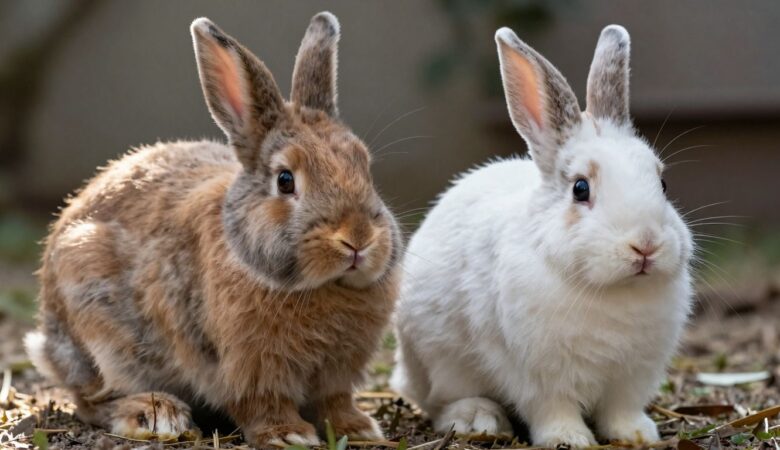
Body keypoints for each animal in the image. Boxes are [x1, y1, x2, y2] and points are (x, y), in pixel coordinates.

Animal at [24, 12, 402, 447]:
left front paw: (357, 428)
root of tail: (47, 344)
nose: (357, 238)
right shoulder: (246, 366)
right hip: (94, 320)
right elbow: (262, 402)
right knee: (92, 400)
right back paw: (155, 415)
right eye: (285, 180)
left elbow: (334, 400)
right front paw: (288, 434)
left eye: (365, 167)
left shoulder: (337, 372)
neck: (319, 288)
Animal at [391, 24, 693, 448]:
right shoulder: (536, 374)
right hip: (438, 361)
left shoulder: (632, 376)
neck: (610, 291)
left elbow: (621, 409)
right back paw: (477, 419)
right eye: (580, 189)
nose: (646, 245)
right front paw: (568, 439)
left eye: (662, 183)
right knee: (441, 401)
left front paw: (637, 433)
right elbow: (552, 408)